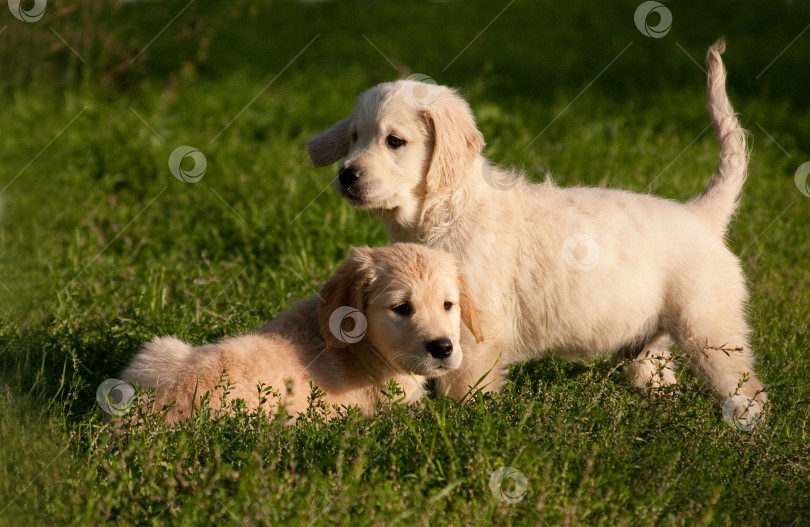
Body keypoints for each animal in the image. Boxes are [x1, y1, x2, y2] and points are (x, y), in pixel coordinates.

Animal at [306, 41, 768, 420]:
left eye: (395, 141)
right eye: (353, 137)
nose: (346, 175)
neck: (447, 208)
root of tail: (700, 214)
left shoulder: (474, 333)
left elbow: (462, 388)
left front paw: (459, 426)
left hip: (710, 331)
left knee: (750, 392)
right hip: (647, 344)